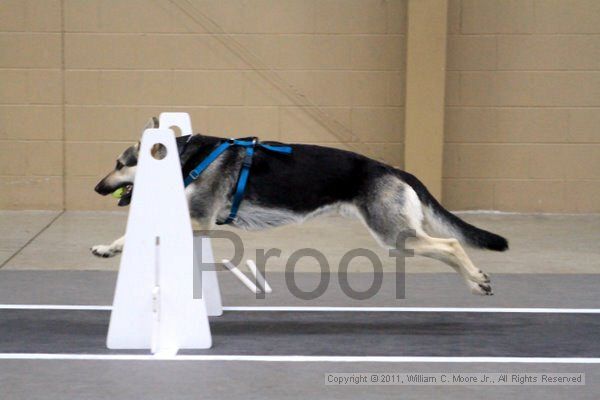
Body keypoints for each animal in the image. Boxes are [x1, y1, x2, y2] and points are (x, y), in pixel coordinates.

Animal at [92, 117, 506, 296]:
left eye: (120, 163)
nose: (96, 188)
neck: (186, 158)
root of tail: (392, 169)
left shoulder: (196, 222)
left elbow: (135, 235)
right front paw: (109, 248)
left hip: (397, 236)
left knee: (451, 244)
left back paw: (476, 278)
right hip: (401, 236)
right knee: (448, 247)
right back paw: (475, 282)